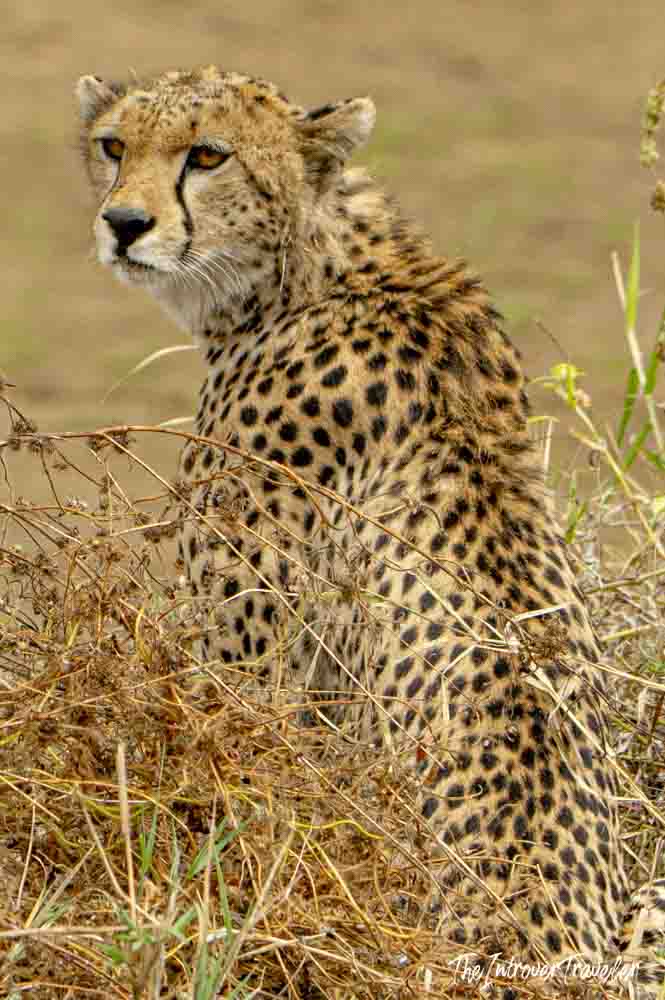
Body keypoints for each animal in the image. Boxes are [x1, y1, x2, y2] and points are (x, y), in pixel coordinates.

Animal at [76, 65, 665, 995]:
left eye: (207, 156)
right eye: (113, 145)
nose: (124, 223)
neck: (313, 264)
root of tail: (548, 961)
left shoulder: (250, 664)